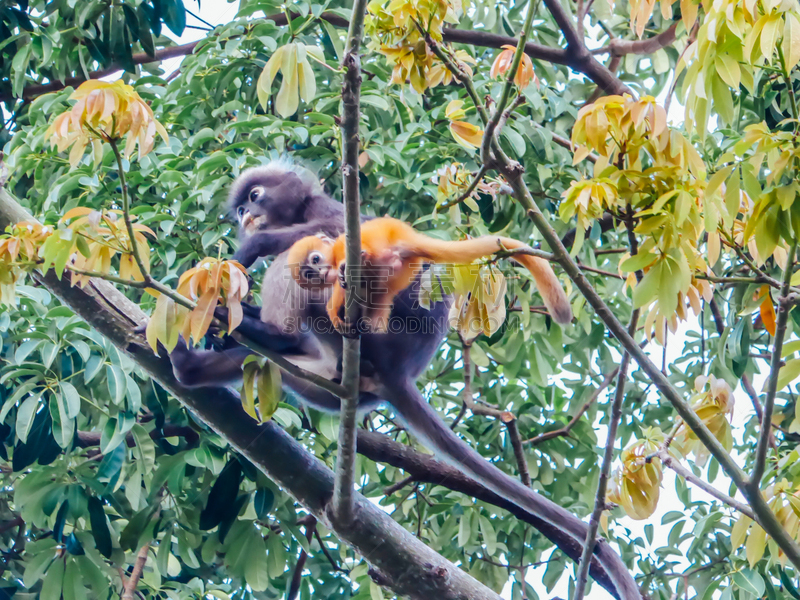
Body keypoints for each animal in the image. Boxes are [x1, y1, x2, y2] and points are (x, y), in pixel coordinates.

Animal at [290, 218, 576, 332]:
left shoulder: (340, 247)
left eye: (316, 259)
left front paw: (333, 309)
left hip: (380, 242)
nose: (321, 271)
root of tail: (407, 237)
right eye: (309, 273)